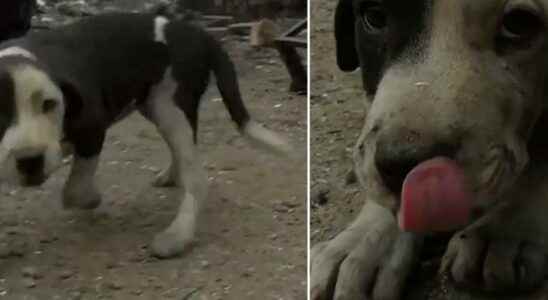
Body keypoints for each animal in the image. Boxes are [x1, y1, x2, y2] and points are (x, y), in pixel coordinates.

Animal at [0, 12, 292, 258]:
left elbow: (74, 190)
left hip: (170, 107)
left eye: (49, 104)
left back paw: (176, 236)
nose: (30, 160)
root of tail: (197, 32)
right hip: (155, 105)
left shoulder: (92, 127)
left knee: (196, 178)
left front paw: (91, 199)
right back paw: (171, 177)